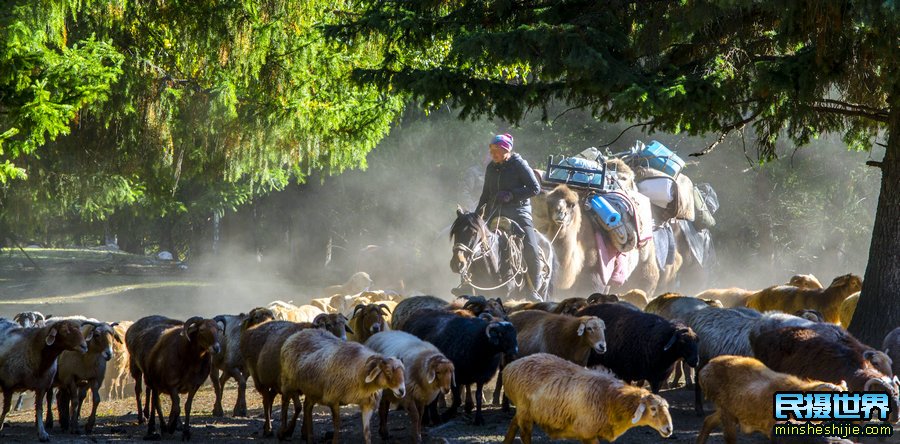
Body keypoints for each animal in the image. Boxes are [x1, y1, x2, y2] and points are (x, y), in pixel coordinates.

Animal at [502, 352, 672, 442]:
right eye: (653, 408)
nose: (669, 429)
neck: (611, 398)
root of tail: (510, 366)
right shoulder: (587, 433)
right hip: (525, 412)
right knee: (524, 433)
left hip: (524, 410)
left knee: (513, 423)